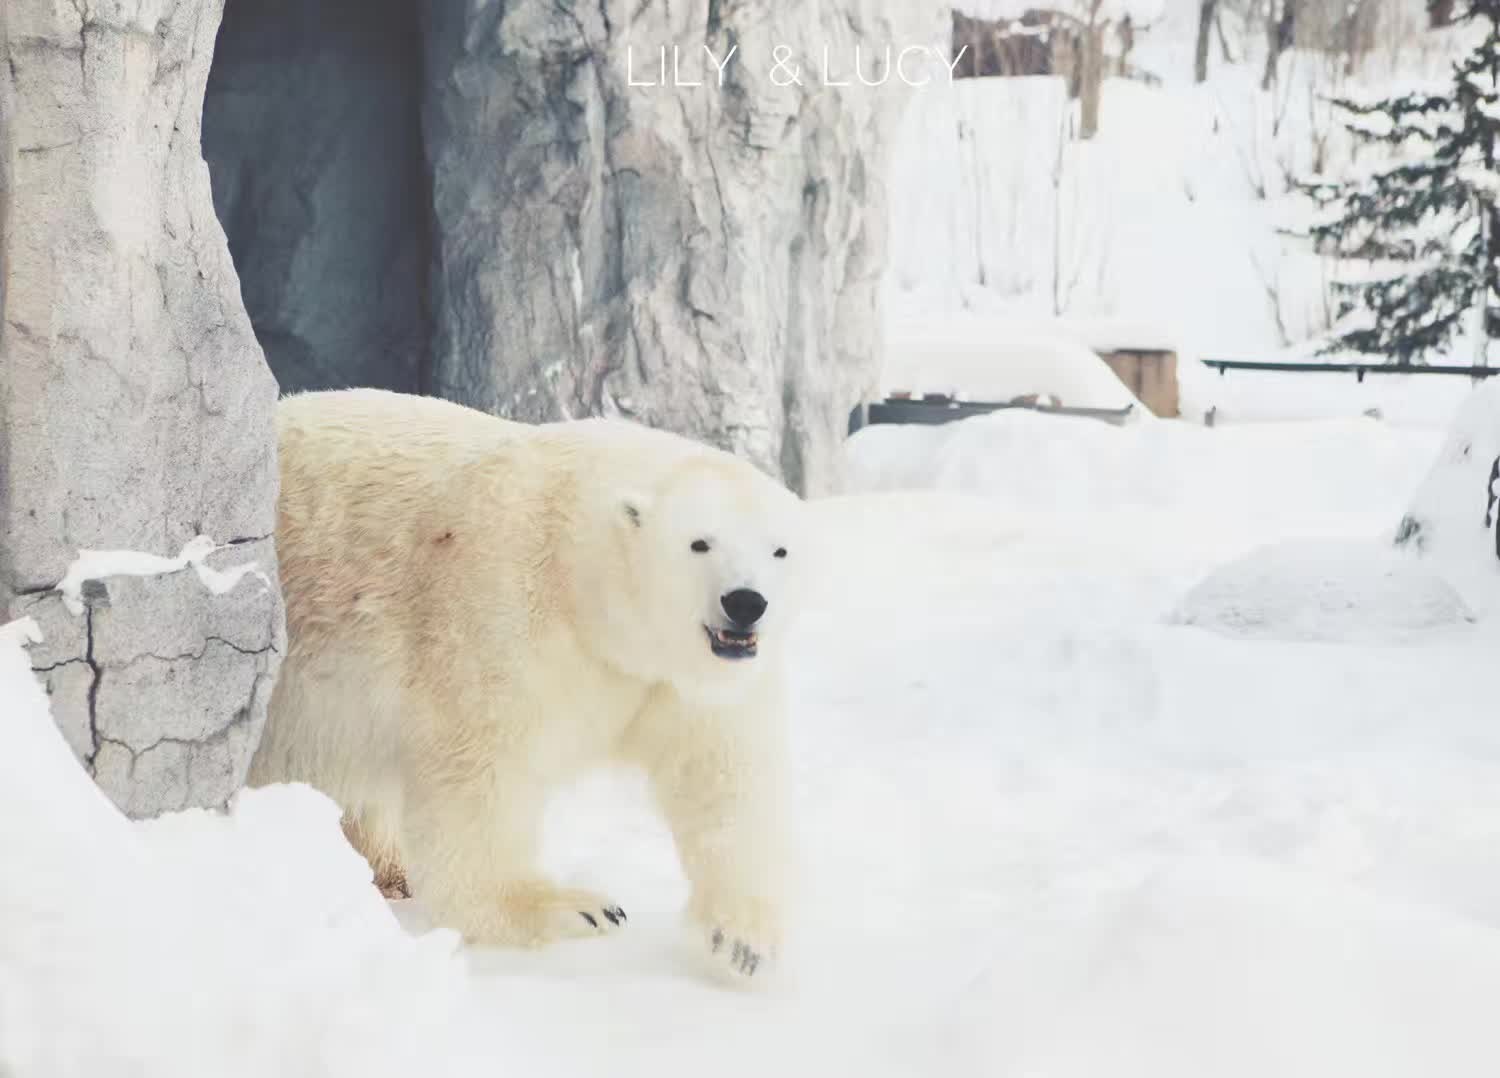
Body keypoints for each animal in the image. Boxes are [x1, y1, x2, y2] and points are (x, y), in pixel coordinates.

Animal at [247, 386, 810, 977]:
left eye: (779, 550)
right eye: (699, 543)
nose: (745, 602)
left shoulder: (691, 682)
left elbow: (724, 775)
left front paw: (746, 940)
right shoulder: (497, 604)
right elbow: (480, 771)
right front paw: (572, 909)